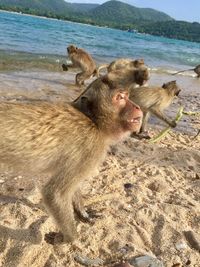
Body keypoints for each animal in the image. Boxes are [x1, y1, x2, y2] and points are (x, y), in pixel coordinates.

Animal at [0, 75, 143, 245]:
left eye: (127, 96)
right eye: (120, 98)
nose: (138, 107)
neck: (93, 121)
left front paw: (83, 214)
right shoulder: (91, 147)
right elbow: (55, 193)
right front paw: (67, 239)